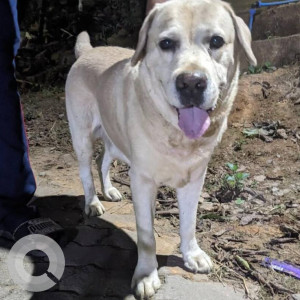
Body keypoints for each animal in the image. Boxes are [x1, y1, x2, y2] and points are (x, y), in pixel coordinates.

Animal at [65, 0, 255, 298]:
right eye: (166, 43)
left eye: (216, 41)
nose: (191, 83)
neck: (176, 134)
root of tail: (88, 51)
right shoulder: (142, 181)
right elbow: (146, 236)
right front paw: (146, 275)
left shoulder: (195, 179)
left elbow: (189, 223)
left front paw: (192, 254)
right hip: (82, 136)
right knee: (86, 170)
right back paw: (94, 202)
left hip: (115, 141)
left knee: (102, 160)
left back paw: (109, 190)